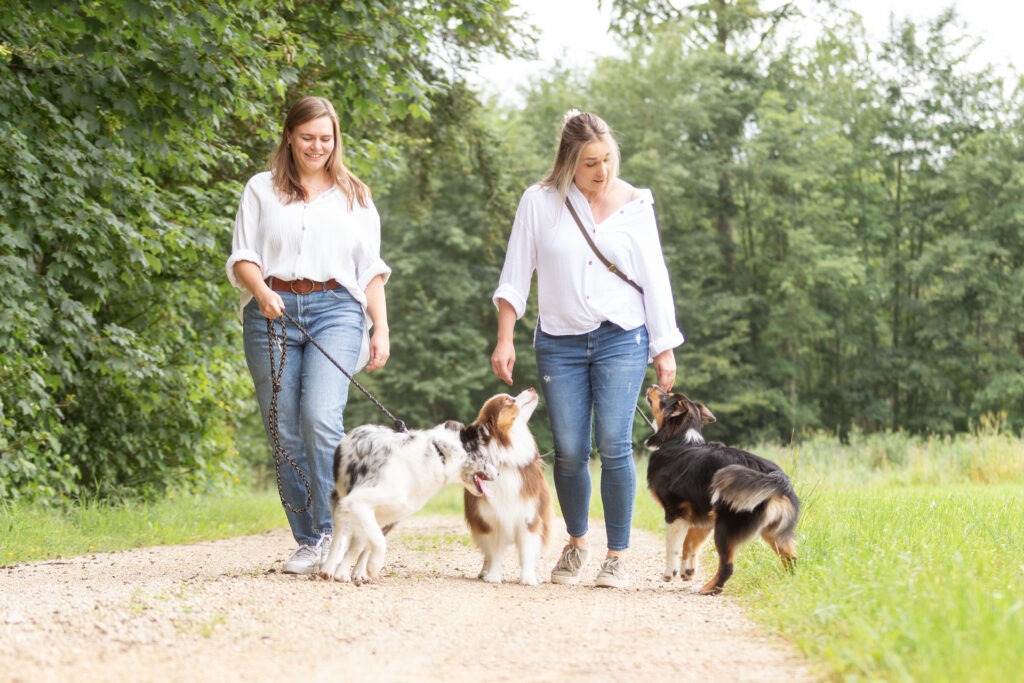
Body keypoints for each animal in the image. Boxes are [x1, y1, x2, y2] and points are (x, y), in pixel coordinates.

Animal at [638, 387, 798, 593]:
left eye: (667, 395)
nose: (652, 385)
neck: (678, 440)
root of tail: (776, 476)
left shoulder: (675, 511)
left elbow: (673, 546)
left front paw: (669, 573)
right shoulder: (702, 515)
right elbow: (690, 544)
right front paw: (687, 571)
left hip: (725, 528)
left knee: (727, 566)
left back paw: (707, 589)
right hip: (772, 531)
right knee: (791, 559)